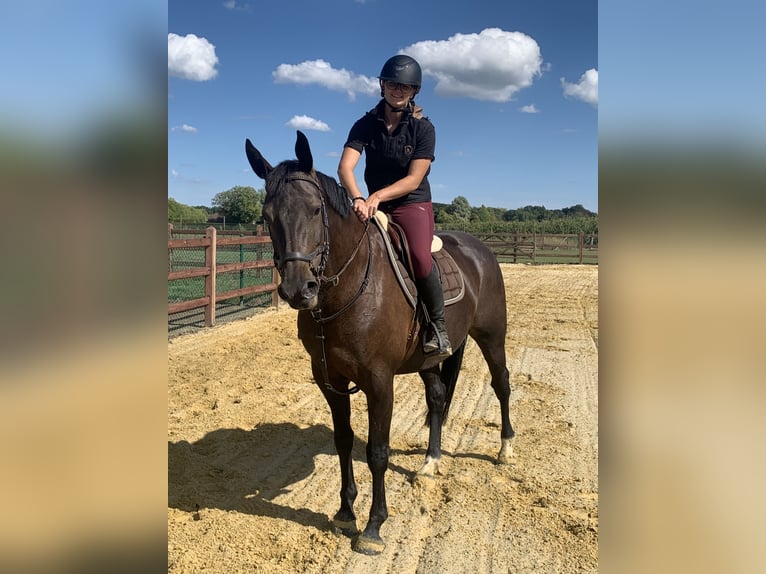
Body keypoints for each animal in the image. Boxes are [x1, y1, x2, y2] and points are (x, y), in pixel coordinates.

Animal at [245, 131, 514, 555]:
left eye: (315, 210)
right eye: (268, 217)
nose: (298, 290)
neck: (349, 288)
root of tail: (480, 248)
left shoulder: (379, 381)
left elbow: (377, 451)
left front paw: (373, 527)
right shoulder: (329, 379)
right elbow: (343, 441)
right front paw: (344, 512)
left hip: (491, 336)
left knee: (501, 383)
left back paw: (505, 450)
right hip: (427, 360)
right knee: (438, 397)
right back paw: (430, 463)